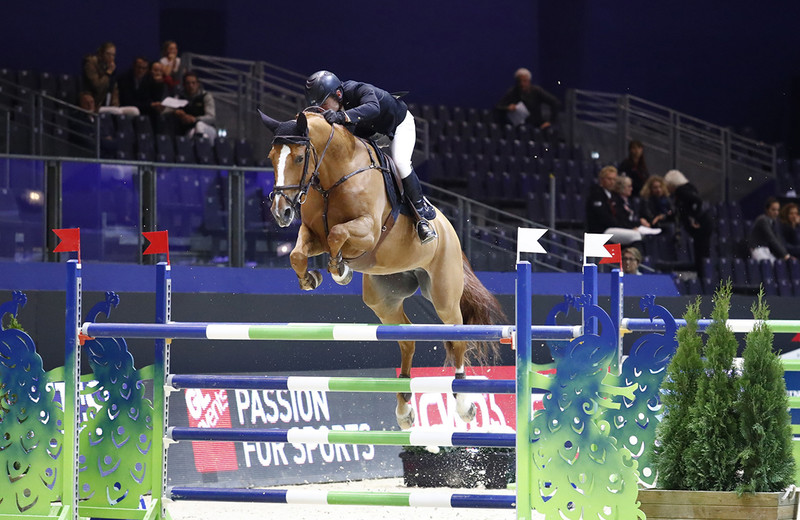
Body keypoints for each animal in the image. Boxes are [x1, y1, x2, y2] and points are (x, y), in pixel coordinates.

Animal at [260, 107, 504, 428]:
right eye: (271, 157)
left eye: (299, 158)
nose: (281, 212)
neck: (332, 177)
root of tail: (449, 228)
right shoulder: (313, 235)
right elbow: (298, 255)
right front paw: (311, 278)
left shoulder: (368, 231)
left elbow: (338, 234)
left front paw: (340, 271)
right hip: (383, 299)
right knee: (407, 340)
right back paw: (404, 409)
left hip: (444, 295)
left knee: (457, 335)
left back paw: (464, 403)